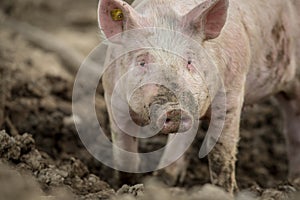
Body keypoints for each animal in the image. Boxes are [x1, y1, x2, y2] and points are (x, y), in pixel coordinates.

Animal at [97, 0, 298, 193]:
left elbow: (220, 151)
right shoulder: (112, 95)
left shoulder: (232, 92)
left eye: (189, 61)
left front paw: (225, 191)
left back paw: (293, 181)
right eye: (142, 62)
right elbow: (123, 152)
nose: (175, 110)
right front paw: (125, 187)